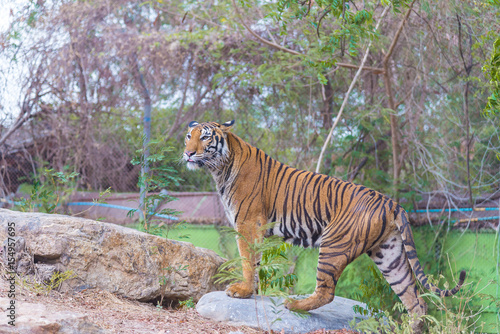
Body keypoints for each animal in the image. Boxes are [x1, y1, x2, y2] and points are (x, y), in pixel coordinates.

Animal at [183, 120, 464, 328]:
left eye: (205, 138)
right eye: (188, 136)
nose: (188, 153)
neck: (220, 168)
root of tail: (392, 203)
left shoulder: (248, 224)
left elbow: (247, 261)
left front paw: (241, 291)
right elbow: (256, 262)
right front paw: (251, 290)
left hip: (334, 244)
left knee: (326, 292)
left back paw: (294, 305)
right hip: (389, 254)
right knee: (416, 300)